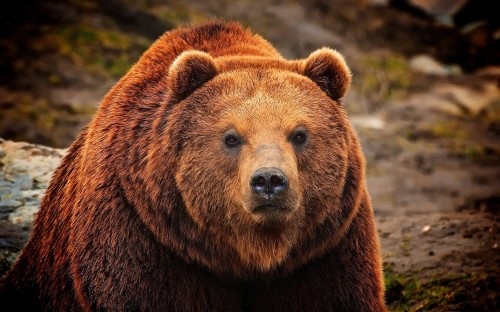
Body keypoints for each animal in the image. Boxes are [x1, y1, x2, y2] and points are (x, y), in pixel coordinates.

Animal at [0, 22, 386, 312]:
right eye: (231, 137)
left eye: (300, 134)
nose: (269, 181)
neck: (250, 253)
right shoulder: (144, 236)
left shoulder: (323, 248)